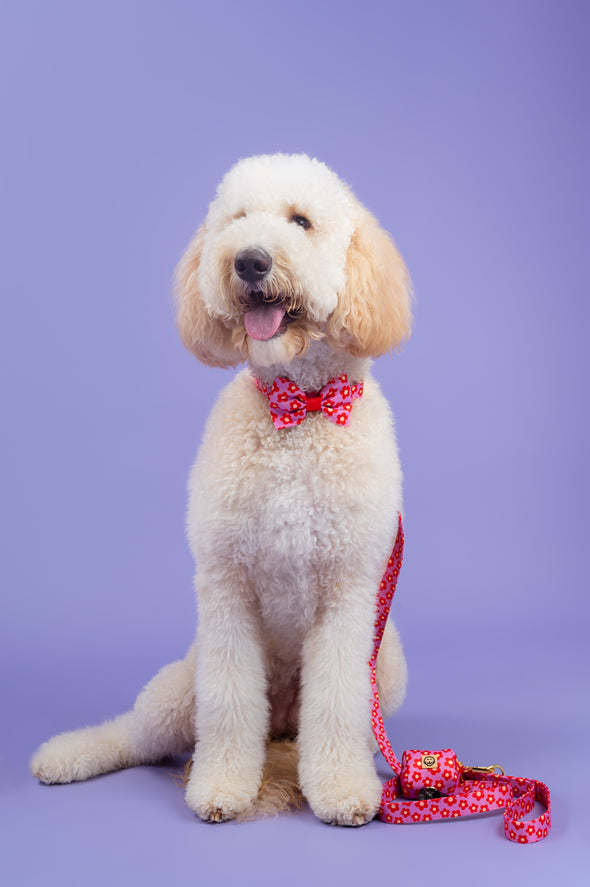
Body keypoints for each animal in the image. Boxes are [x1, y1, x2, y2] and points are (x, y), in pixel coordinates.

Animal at [31, 153, 412, 824]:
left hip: (384, 663)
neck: (299, 410)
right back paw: (69, 755)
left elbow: (338, 704)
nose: (250, 261)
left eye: (301, 221)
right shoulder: (227, 587)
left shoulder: (348, 599)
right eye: (237, 220)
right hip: (183, 682)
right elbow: (230, 704)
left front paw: (341, 787)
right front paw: (222, 788)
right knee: (139, 734)